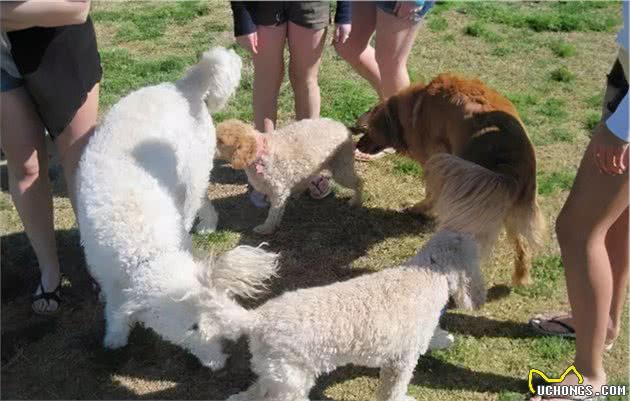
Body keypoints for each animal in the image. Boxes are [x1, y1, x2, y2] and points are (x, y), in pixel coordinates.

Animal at [76, 47, 278, 368]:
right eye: (192, 328)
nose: (220, 362)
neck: (143, 249)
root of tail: (183, 86)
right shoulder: (108, 274)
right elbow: (115, 305)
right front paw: (115, 334)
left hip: (194, 171)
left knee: (197, 198)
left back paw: (206, 222)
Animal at [202, 230, 488, 398]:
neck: (428, 271)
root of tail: (257, 319)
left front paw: (444, 339)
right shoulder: (400, 363)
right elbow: (393, 392)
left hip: (276, 375)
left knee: (254, 391)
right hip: (292, 380)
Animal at [217, 117, 366, 233]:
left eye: (220, 141)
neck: (260, 155)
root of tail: (344, 127)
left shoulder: (279, 191)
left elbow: (273, 213)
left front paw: (266, 229)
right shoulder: (276, 193)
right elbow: (278, 211)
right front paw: (274, 225)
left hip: (341, 168)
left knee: (360, 182)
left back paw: (356, 201)